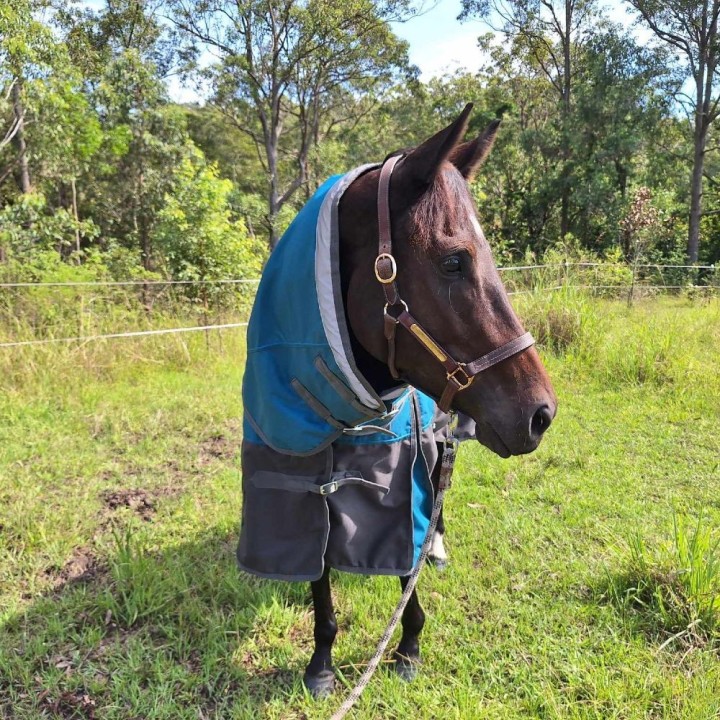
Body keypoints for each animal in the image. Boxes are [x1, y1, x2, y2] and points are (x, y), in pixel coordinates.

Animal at [237, 103, 557, 697]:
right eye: (454, 261)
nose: (541, 413)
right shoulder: (301, 479)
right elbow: (319, 575)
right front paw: (321, 662)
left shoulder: (400, 474)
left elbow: (407, 558)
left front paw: (408, 646)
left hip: (442, 436)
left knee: (440, 493)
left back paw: (438, 548)